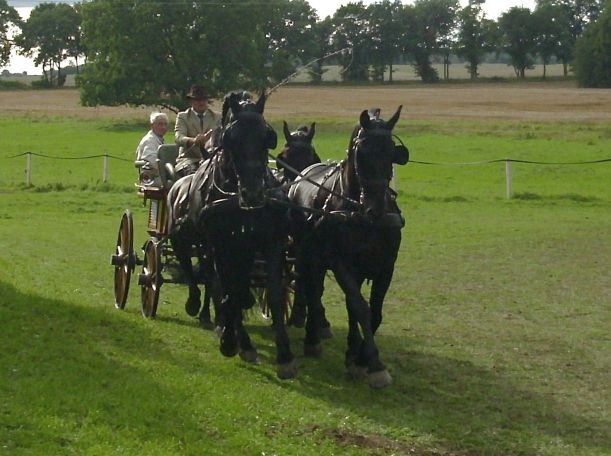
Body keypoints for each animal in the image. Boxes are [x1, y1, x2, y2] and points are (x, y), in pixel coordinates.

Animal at [290, 106, 408, 388]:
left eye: (391, 152)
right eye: (361, 153)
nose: (375, 209)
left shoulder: (385, 266)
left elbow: (373, 311)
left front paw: (360, 357)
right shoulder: (342, 263)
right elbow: (359, 306)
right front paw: (373, 362)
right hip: (306, 255)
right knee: (311, 289)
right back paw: (312, 336)